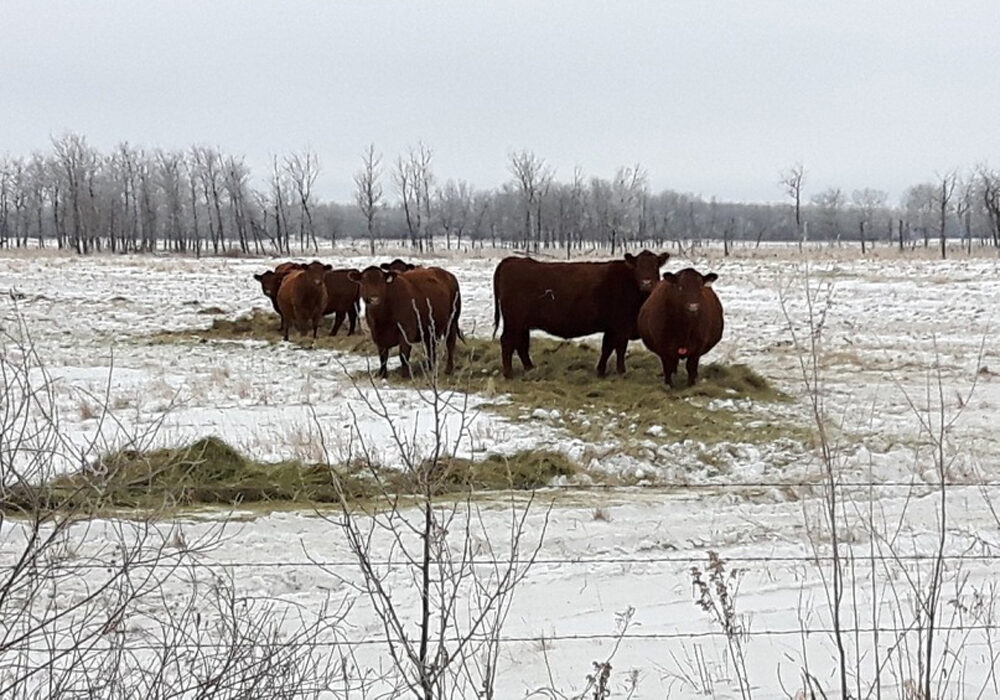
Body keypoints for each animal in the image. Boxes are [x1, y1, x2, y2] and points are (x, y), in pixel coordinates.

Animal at [492, 250, 670, 378]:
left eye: (655, 266)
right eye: (638, 266)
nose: (647, 283)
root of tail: (510, 261)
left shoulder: (616, 328)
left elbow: (613, 348)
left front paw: (610, 371)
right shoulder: (619, 326)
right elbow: (613, 348)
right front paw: (613, 371)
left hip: (521, 324)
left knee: (520, 344)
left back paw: (530, 368)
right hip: (514, 321)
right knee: (507, 342)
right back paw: (509, 373)